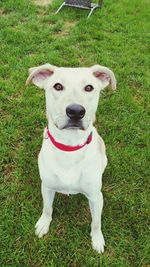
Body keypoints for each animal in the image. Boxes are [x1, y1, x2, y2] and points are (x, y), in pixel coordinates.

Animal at [26, 63, 116, 254]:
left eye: (89, 87)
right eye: (58, 86)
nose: (76, 111)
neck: (69, 147)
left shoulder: (96, 197)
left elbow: (96, 222)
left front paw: (97, 240)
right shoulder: (47, 187)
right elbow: (47, 208)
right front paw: (44, 224)